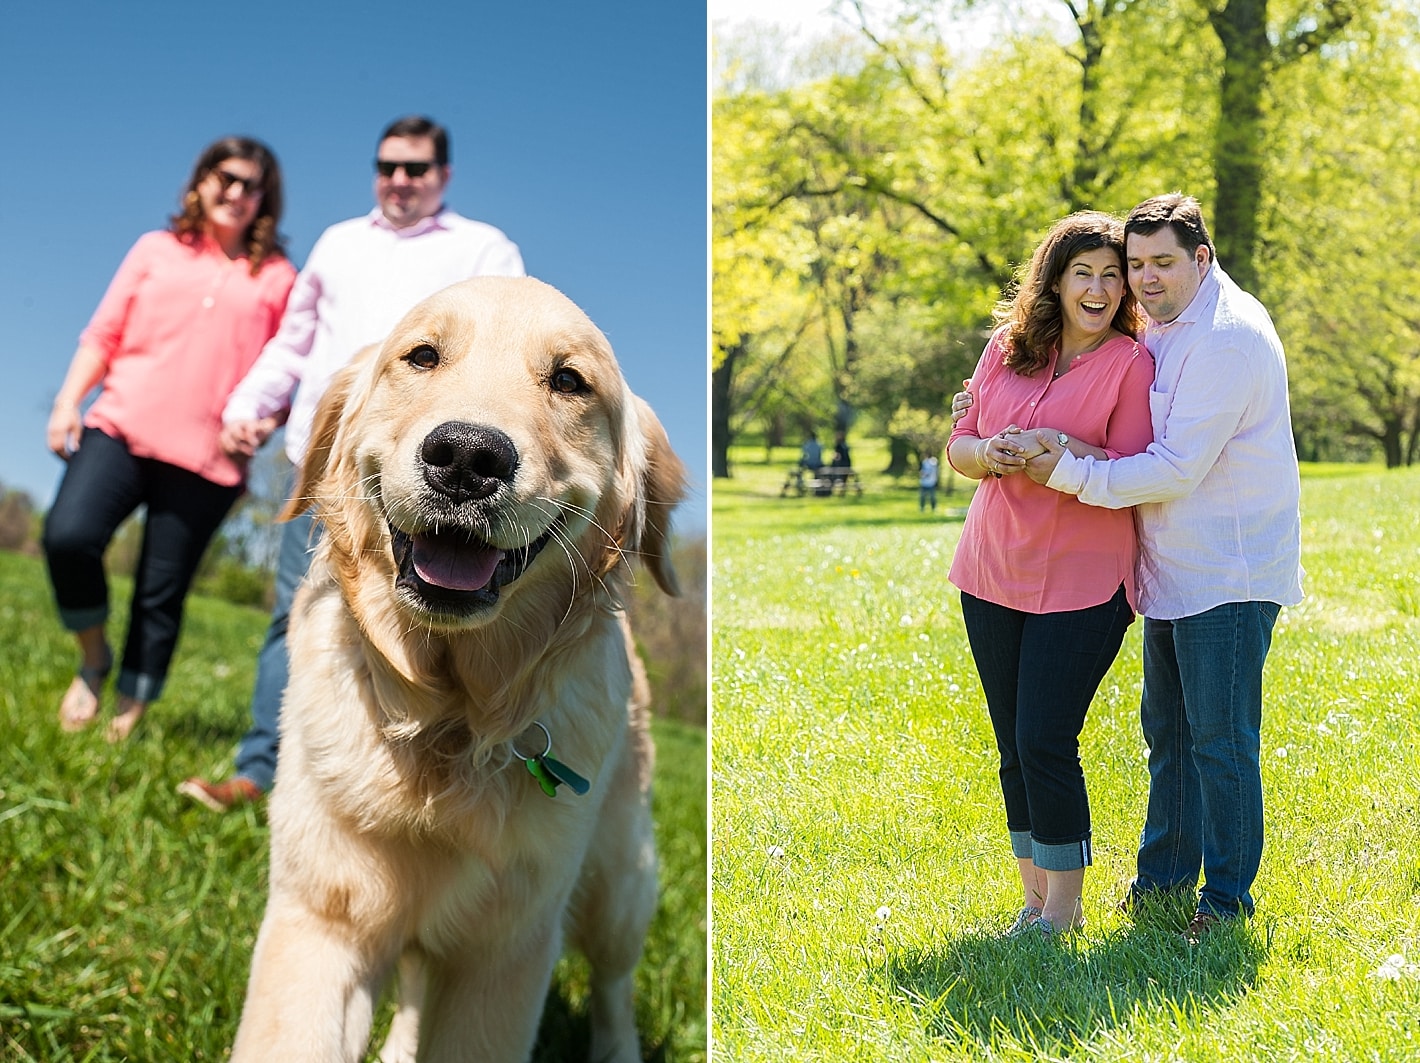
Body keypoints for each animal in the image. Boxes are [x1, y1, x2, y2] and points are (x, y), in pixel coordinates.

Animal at [230, 275, 684, 1061]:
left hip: (617, 883)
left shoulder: (505, 954)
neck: (450, 717)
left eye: (570, 380)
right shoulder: (321, 918)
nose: (468, 457)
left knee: (614, 983)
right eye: (422, 356)